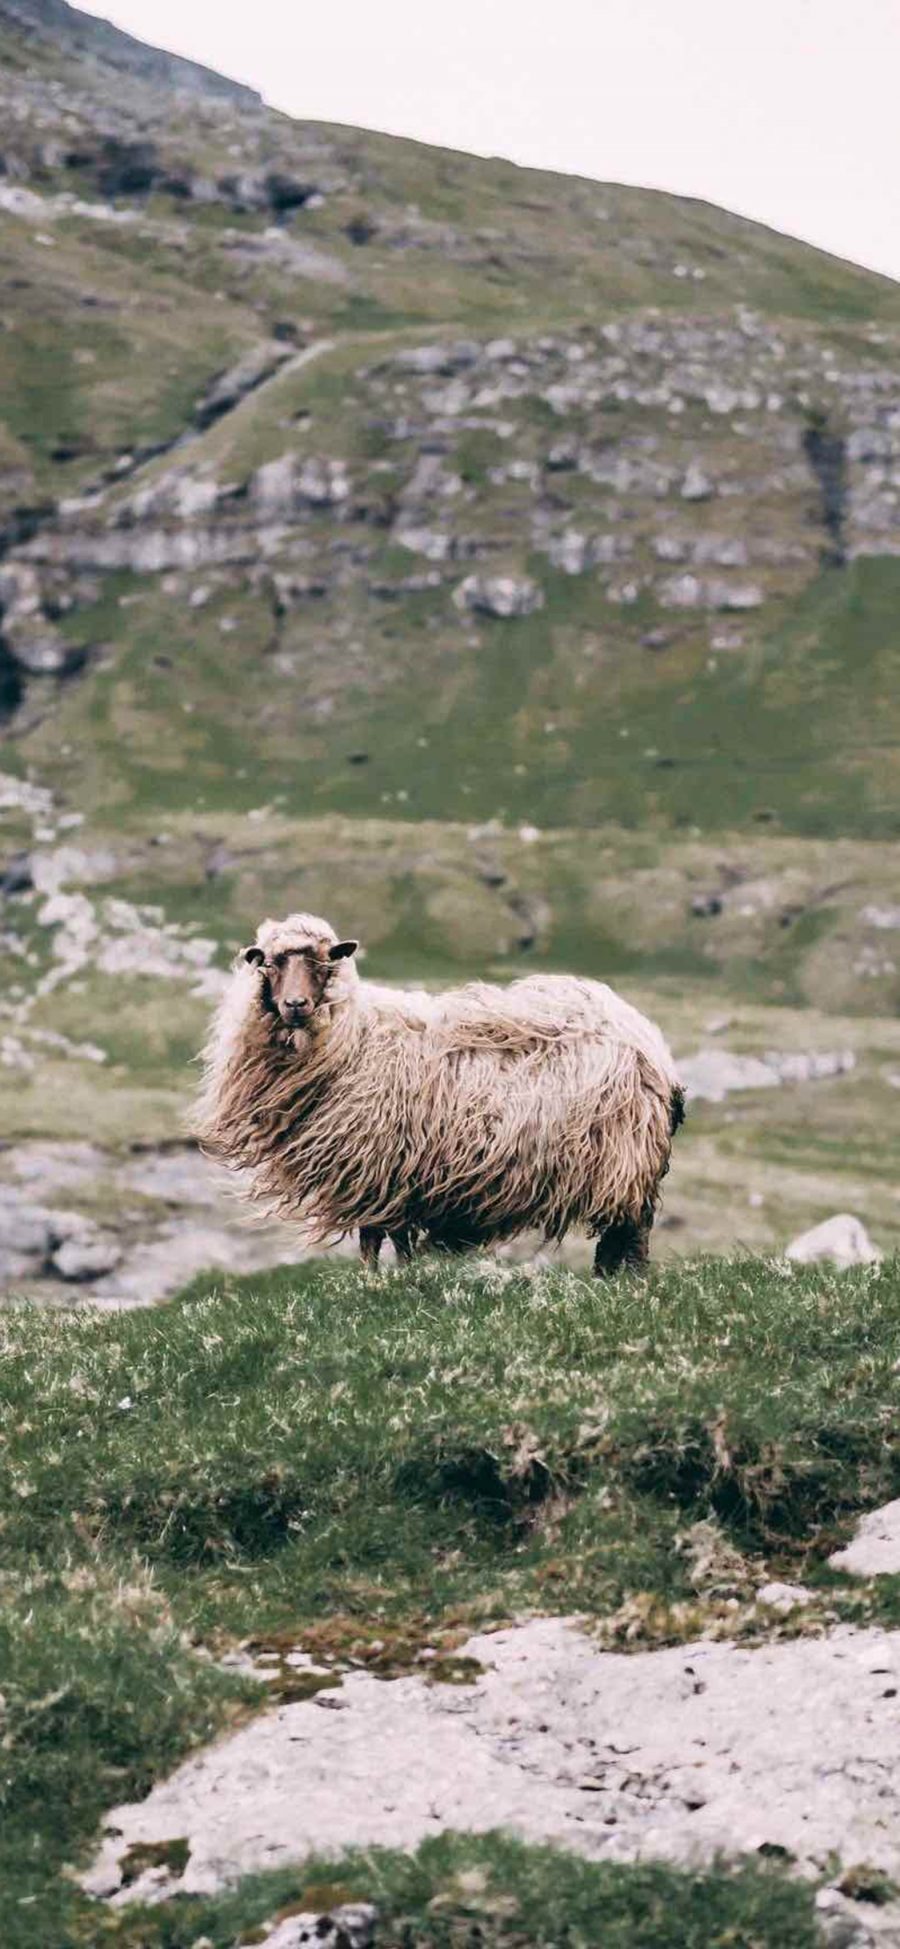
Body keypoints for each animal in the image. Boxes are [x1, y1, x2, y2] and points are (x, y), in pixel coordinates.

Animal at [191, 912, 681, 1278]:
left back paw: (627, 1280)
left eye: (325, 962)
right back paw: (606, 1278)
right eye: (270, 963)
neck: (356, 1037)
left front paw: (379, 1282)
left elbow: (378, 1238)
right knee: (619, 1235)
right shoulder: (394, 1174)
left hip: (625, 1156)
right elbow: (386, 1238)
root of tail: (648, 1038)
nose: (295, 1005)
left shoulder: (379, 1165)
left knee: (632, 1230)